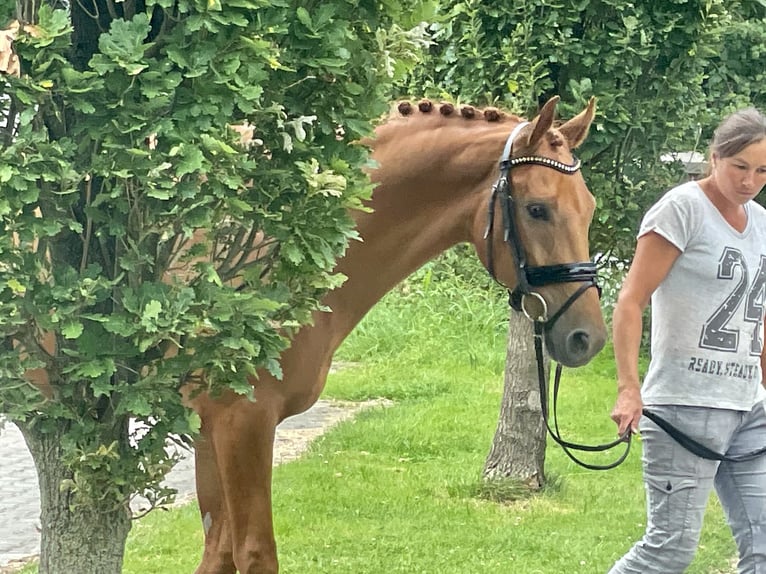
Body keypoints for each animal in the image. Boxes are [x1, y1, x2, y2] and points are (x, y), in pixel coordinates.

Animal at [190, 97, 608, 572]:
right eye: (537, 208)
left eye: (588, 206)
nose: (587, 337)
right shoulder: (241, 422)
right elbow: (253, 552)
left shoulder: (209, 428)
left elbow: (218, 551)